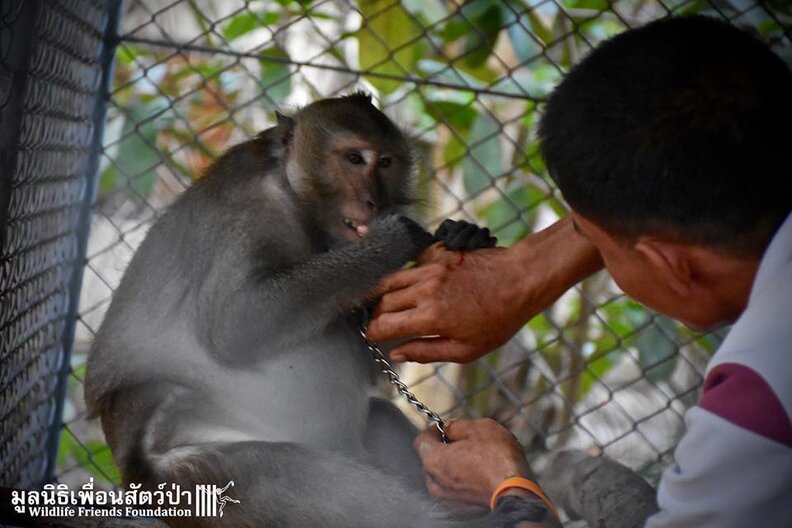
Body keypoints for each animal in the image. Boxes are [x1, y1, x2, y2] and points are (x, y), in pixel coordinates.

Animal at [84, 93, 545, 528]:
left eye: (387, 162)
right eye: (354, 159)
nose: (373, 201)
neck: (298, 201)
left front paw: (464, 237)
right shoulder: (250, 211)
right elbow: (234, 325)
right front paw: (393, 241)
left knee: (377, 417)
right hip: (184, 477)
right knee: (272, 468)